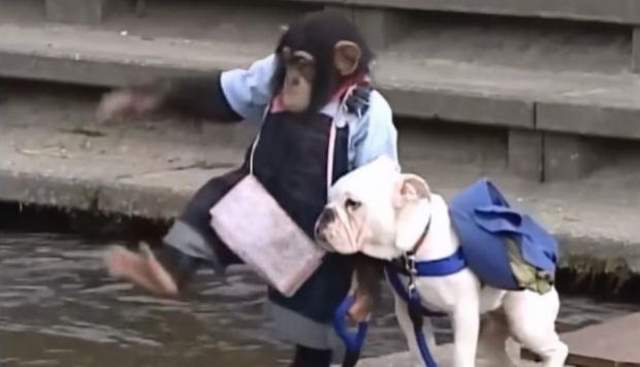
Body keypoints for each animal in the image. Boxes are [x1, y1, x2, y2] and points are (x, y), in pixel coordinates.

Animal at [100, 10, 398, 366]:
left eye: (303, 63)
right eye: (287, 61)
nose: (291, 81)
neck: (328, 99)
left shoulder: (374, 123)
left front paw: (366, 295)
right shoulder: (266, 74)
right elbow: (225, 99)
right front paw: (138, 100)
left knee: (310, 325)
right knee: (210, 202)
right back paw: (160, 273)